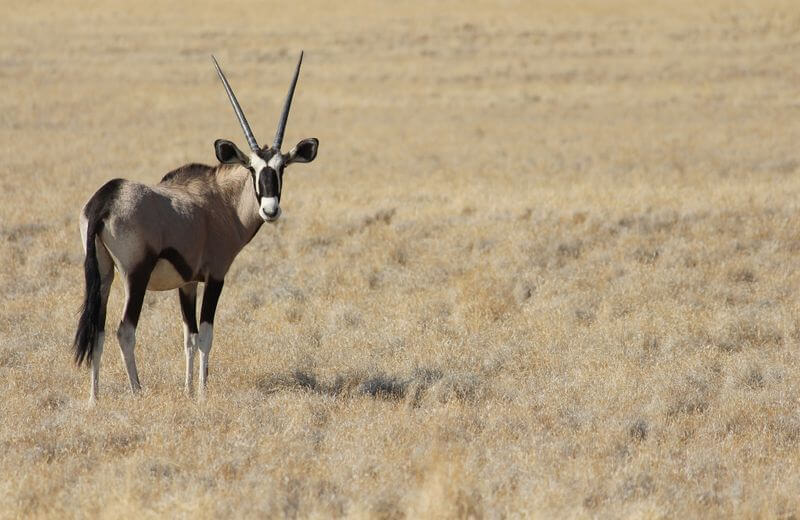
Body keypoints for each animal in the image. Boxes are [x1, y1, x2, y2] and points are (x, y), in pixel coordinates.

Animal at [72, 51, 318, 402]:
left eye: (282, 167)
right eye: (252, 168)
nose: (270, 209)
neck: (221, 201)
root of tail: (106, 198)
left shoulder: (186, 283)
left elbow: (188, 336)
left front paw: (188, 389)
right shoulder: (216, 275)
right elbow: (205, 335)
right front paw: (202, 391)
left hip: (102, 273)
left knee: (99, 330)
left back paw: (94, 397)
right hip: (135, 275)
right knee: (124, 330)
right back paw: (137, 390)